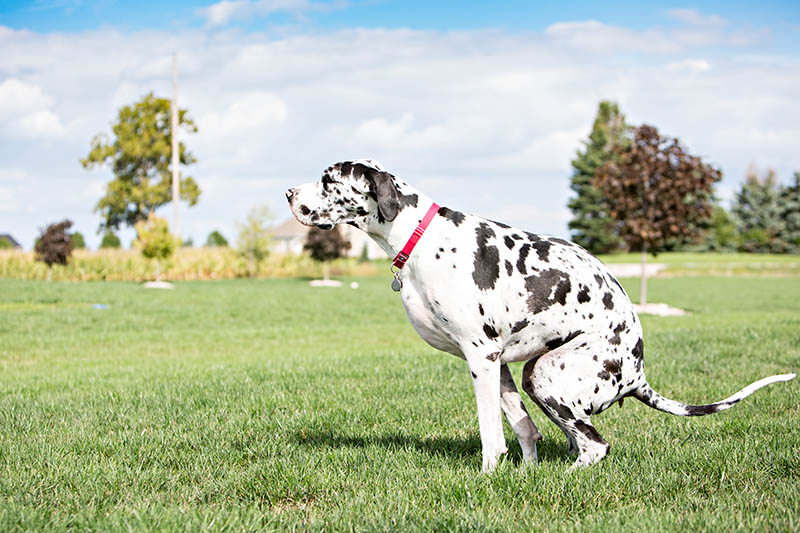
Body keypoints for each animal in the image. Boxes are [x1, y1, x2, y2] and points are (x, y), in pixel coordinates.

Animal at [286, 158, 792, 470]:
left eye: (329, 180)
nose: (289, 191)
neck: (421, 237)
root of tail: (638, 372)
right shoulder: (498, 362)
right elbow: (523, 427)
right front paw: (525, 473)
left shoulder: (481, 358)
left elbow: (492, 435)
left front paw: (489, 476)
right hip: (535, 374)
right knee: (577, 438)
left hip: (549, 375)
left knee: (596, 445)